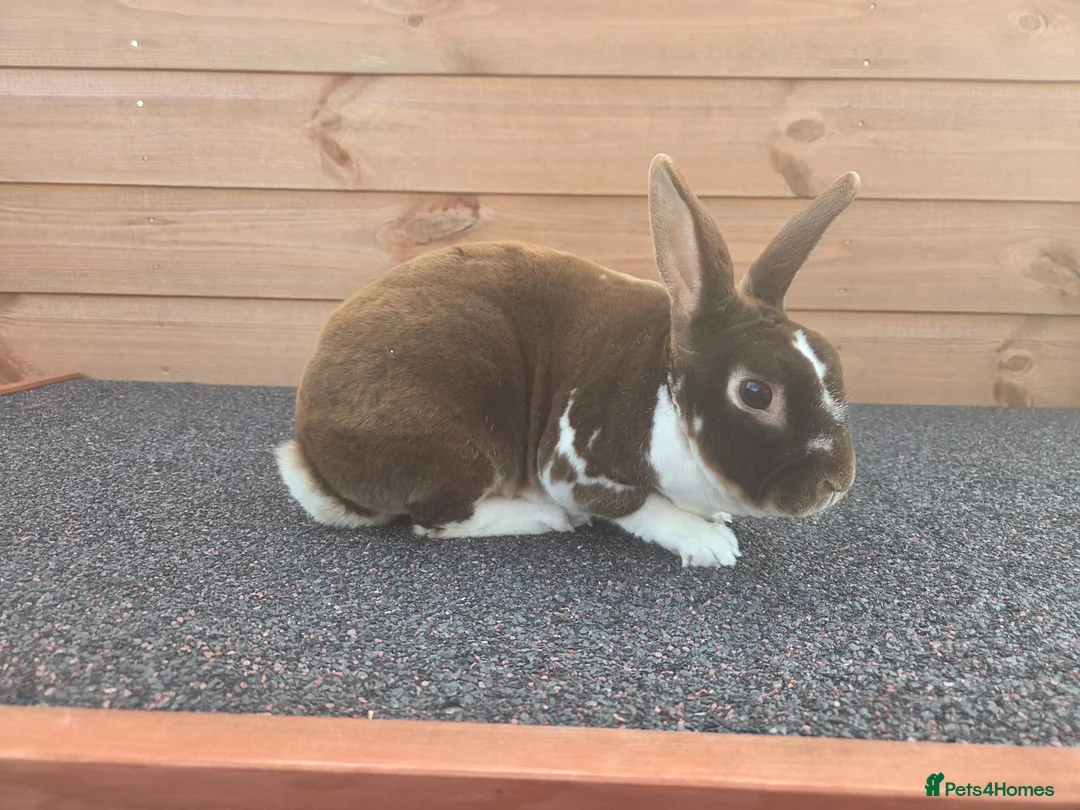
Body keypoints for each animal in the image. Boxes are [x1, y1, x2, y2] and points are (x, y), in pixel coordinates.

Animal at [276, 154, 859, 567]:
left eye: (834, 364)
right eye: (755, 392)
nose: (837, 483)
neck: (666, 392)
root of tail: (312, 454)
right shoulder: (575, 465)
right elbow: (643, 506)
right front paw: (709, 541)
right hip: (456, 439)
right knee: (437, 518)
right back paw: (541, 517)